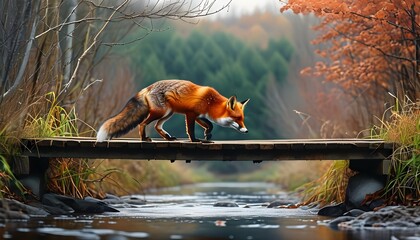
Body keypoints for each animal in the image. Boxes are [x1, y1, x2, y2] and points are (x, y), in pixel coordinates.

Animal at [97, 80, 249, 142]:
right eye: (237, 119)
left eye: (242, 119)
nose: (246, 131)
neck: (210, 102)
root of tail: (148, 87)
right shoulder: (190, 114)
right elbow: (191, 130)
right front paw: (195, 140)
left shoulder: (199, 115)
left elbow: (210, 125)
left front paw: (207, 134)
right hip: (160, 112)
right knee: (143, 124)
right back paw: (144, 139)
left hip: (168, 113)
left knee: (157, 126)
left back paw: (168, 138)